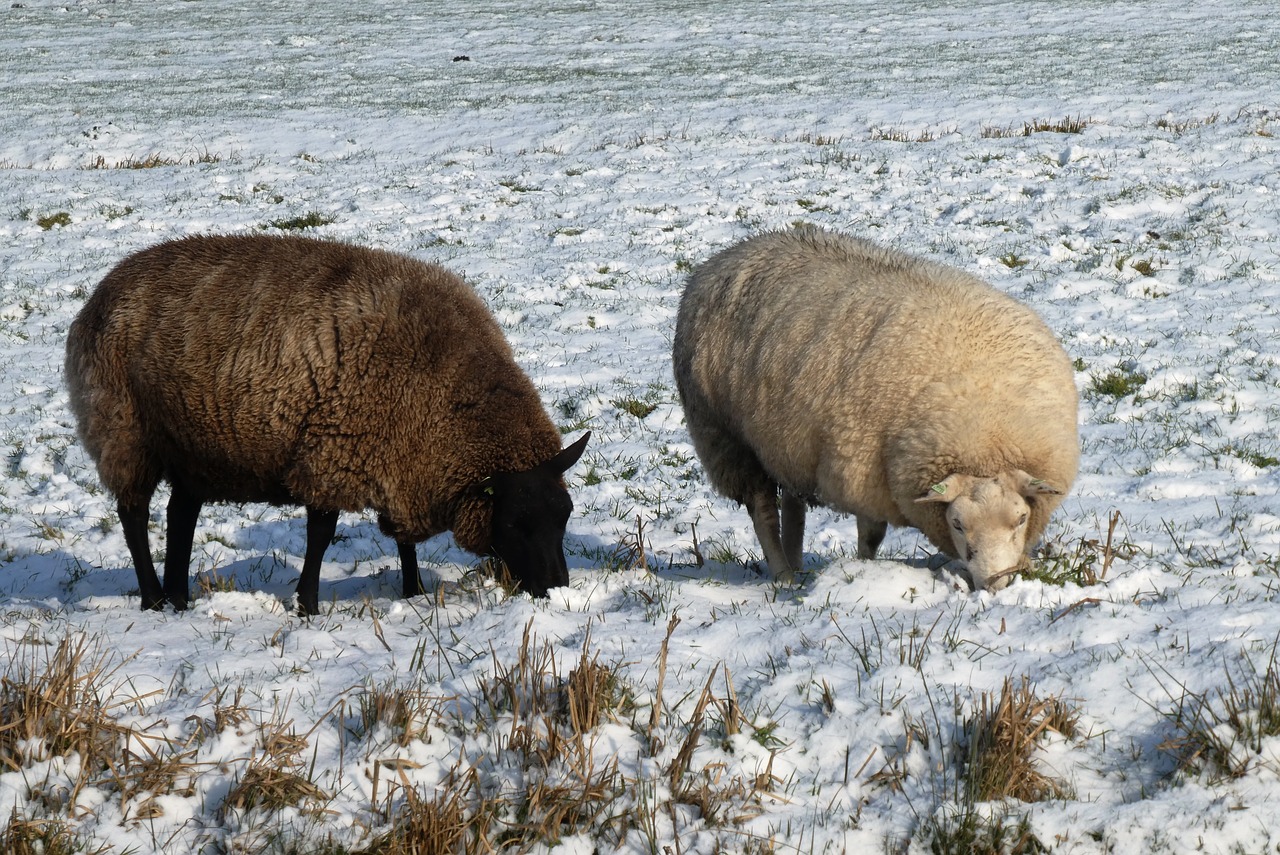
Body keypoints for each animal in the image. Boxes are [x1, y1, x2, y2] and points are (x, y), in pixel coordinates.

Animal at [675, 223, 1075, 591]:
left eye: (1020, 519)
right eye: (957, 524)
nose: (995, 583)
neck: (982, 426)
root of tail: (730, 253)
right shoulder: (863, 473)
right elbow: (870, 536)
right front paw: (865, 572)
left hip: (786, 441)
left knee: (793, 503)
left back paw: (797, 565)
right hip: (727, 438)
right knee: (763, 513)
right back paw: (784, 577)